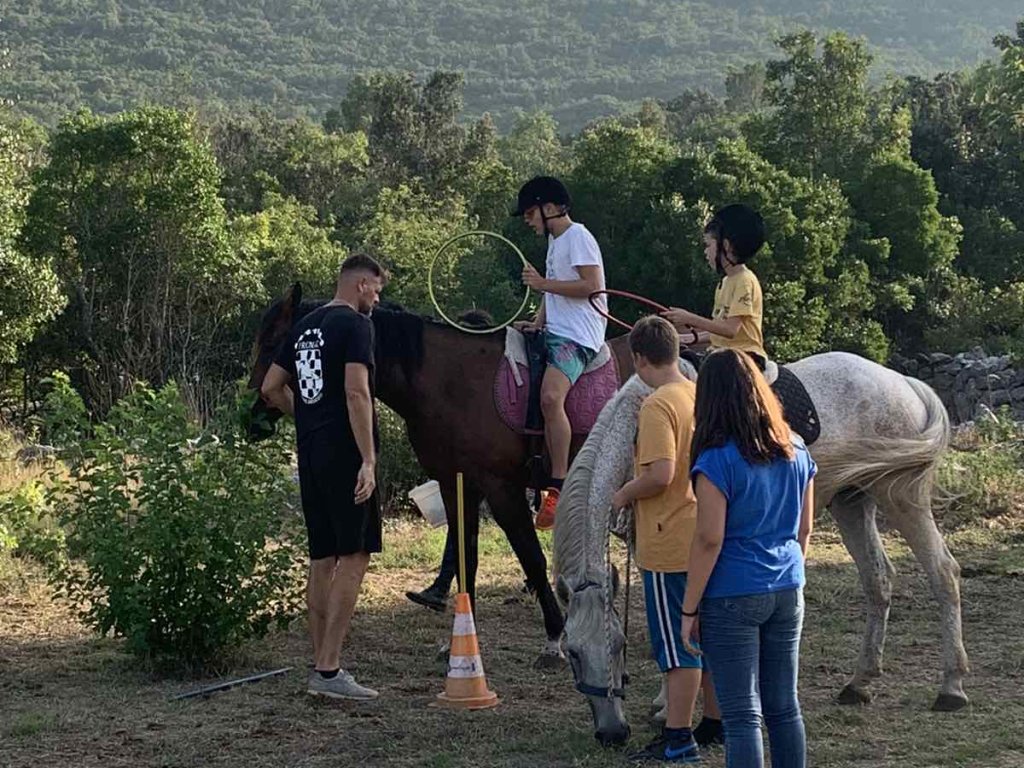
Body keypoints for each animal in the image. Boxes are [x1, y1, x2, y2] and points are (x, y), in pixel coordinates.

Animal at [246, 286, 630, 663]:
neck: (453, 381)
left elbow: (532, 558)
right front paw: (459, 642)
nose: (253, 415)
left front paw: (554, 636)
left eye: (273, 343)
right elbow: (466, 557)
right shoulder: (458, 484)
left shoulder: (502, 489)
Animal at [557, 354, 962, 745]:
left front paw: (669, 706)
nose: (612, 733)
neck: (641, 427)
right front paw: (664, 700)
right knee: (879, 579)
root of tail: (905, 384)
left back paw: (952, 686)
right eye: (572, 652)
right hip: (852, 503)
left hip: (902, 499)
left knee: (944, 572)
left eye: (618, 645)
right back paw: (859, 681)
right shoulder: (652, 550)